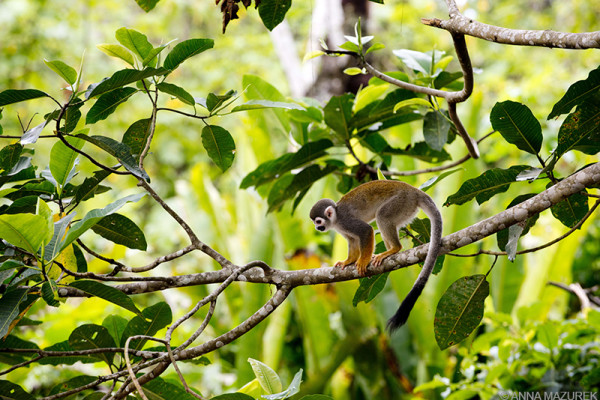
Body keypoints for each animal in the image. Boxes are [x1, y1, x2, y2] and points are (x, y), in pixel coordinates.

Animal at [310, 180, 440, 330]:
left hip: (403, 201)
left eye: (318, 221)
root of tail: (415, 191)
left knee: (382, 215)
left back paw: (394, 249)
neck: (336, 217)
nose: (317, 228)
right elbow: (352, 240)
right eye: (315, 222)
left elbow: (366, 230)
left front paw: (363, 261)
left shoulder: (345, 221)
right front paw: (349, 261)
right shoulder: (341, 227)